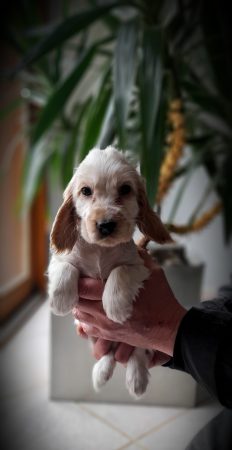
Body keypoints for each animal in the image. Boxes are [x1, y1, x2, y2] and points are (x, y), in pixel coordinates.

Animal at [48, 146, 171, 396]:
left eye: (125, 189)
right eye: (86, 191)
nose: (105, 225)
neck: (100, 250)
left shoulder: (139, 265)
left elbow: (120, 272)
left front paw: (115, 308)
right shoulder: (60, 259)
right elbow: (65, 266)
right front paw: (61, 301)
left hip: (137, 340)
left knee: (138, 352)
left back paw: (136, 379)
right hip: (94, 337)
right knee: (109, 353)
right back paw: (101, 374)